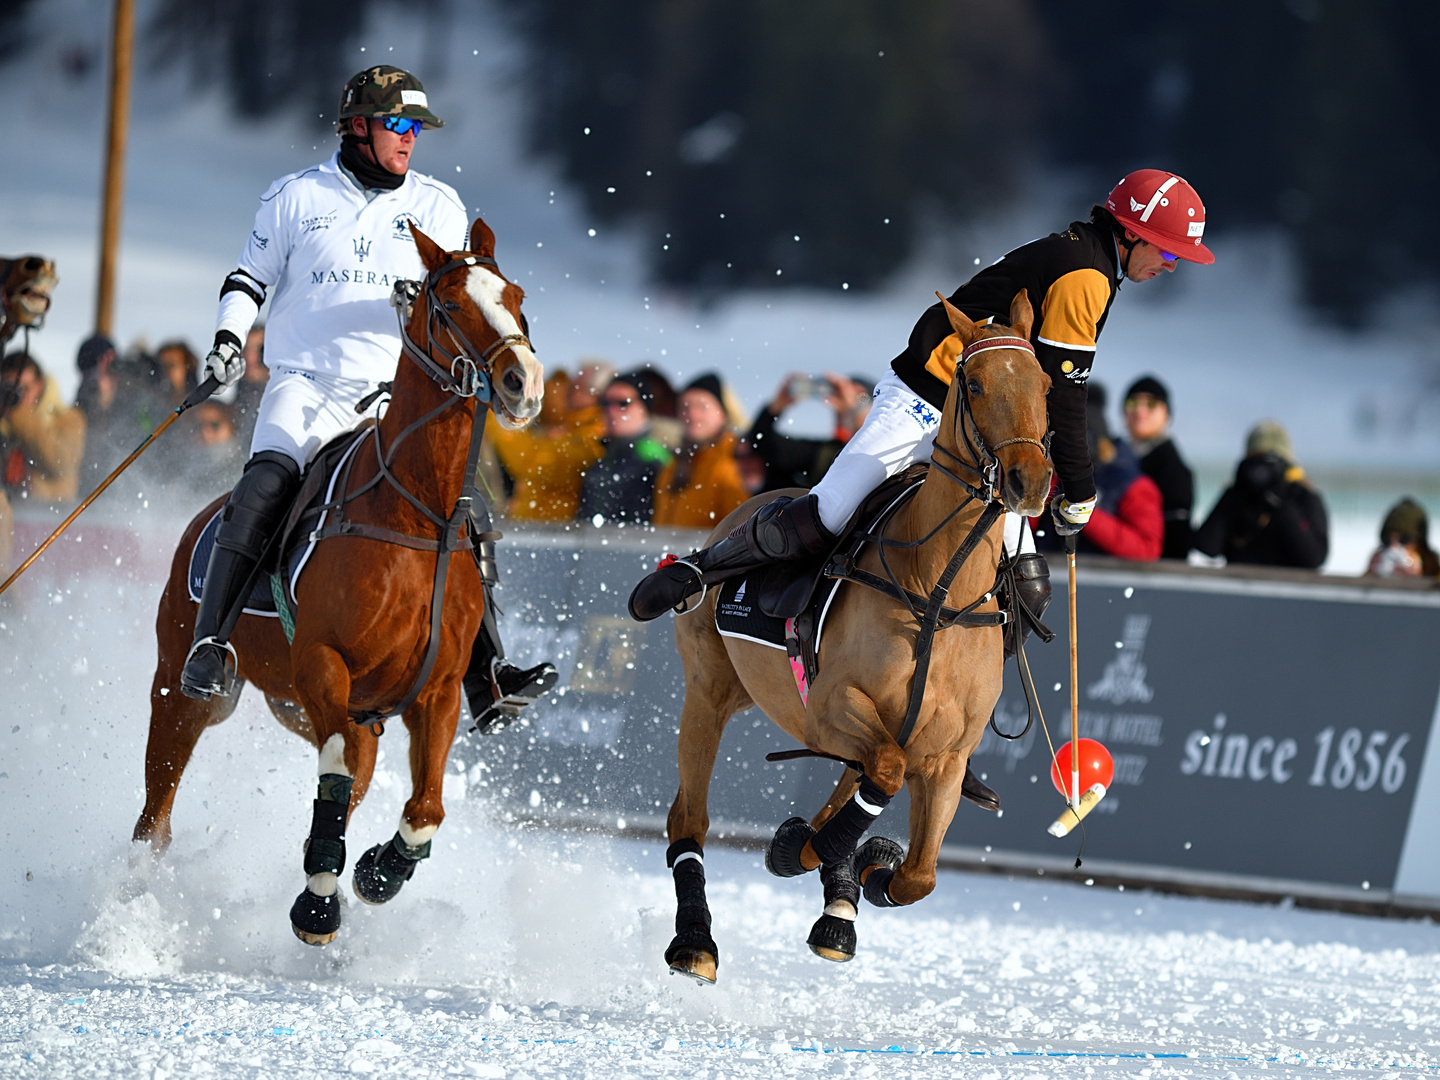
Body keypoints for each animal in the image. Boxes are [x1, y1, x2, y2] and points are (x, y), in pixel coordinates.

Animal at [132, 220, 544, 944]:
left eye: (517, 298)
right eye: (449, 305)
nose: (523, 383)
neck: (416, 511)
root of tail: (203, 516)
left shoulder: (435, 691)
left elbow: (425, 807)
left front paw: (377, 872)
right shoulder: (322, 666)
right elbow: (334, 774)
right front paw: (319, 902)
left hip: (330, 710)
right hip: (183, 690)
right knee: (156, 815)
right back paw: (129, 909)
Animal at [659, 292, 1048, 984]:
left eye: (1045, 385)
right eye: (975, 384)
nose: (1030, 481)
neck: (937, 593)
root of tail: (743, 505)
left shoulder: (947, 756)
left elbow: (918, 874)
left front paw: (863, 866)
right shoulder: (832, 708)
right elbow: (881, 777)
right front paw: (812, 851)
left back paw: (837, 906)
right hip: (707, 689)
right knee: (689, 816)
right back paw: (695, 942)